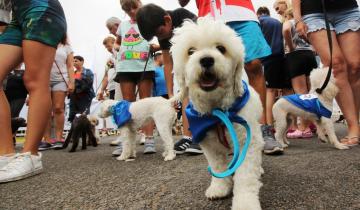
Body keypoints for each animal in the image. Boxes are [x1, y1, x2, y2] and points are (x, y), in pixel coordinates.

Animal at [171, 17, 264, 209]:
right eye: (190, 51)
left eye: (221, 48)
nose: (206, 60)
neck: (217, 110)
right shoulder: (209, 144)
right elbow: (218, 167)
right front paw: (220, 188)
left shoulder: (247, 141)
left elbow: (246, 176)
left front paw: (245, 203)